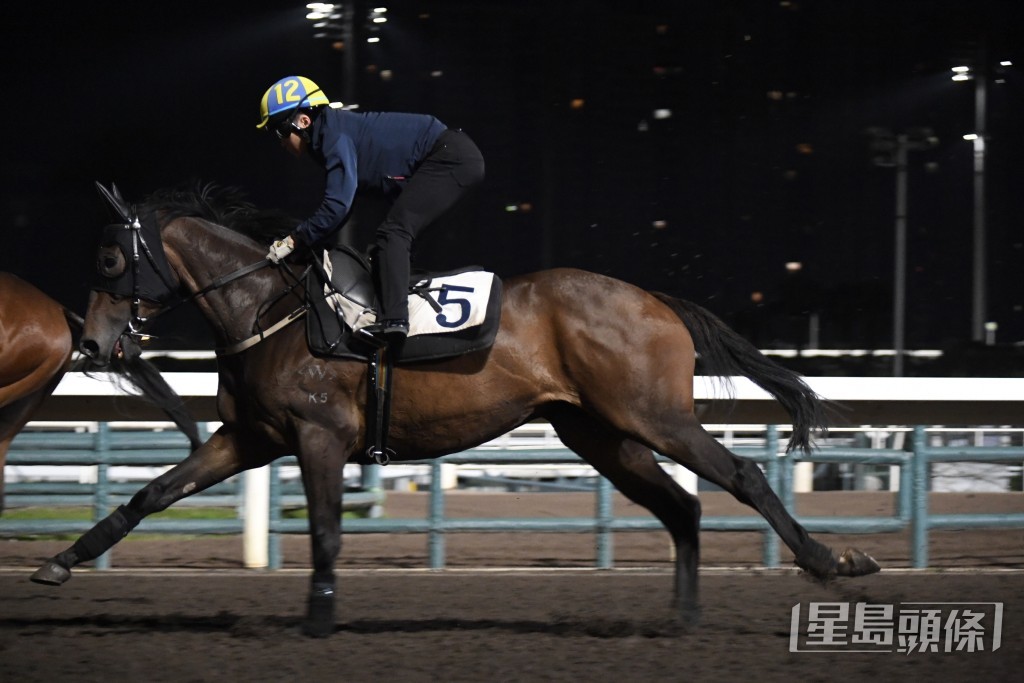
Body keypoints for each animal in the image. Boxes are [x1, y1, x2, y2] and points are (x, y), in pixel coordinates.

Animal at [32, 184, 880, 638]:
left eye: (110, 258)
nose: (94, 343)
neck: (267, 309)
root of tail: (655, 300)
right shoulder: (248, 437)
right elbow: (150, 494)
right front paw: (60, 561)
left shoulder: (319, 436)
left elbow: (327, 530)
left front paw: (319, 617)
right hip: (601, 432)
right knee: (683, 505)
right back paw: (683, 614)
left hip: (653, 417)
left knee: (740, 477)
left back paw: (832, 560)